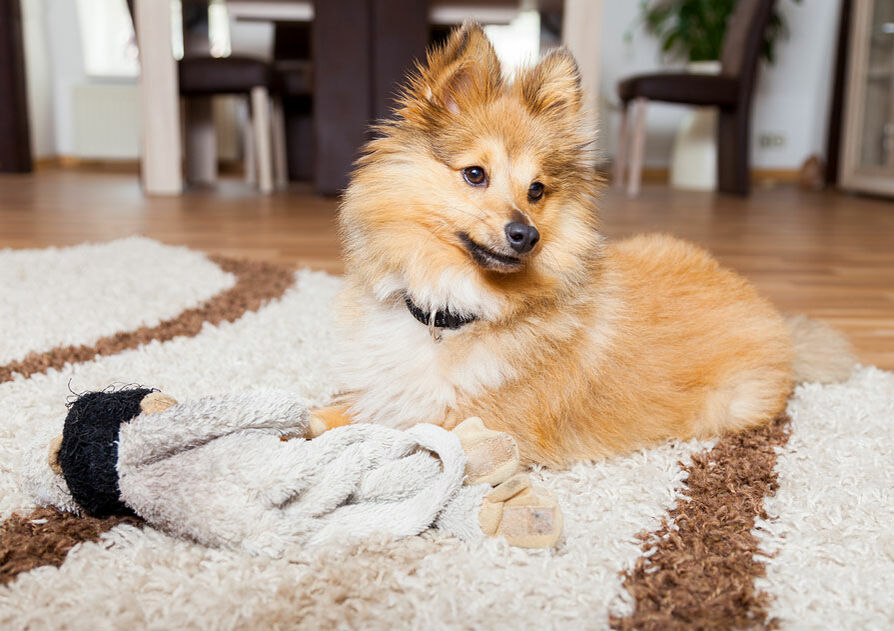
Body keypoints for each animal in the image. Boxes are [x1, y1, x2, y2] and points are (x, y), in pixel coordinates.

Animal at [312, 22, 856, 466]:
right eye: (475, 174)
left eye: (537, 190)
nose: (526, 235)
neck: (452, 312)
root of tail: (774, 317)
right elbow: (330, 410)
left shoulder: (480, 428)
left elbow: (392, 433)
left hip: (731, 406)